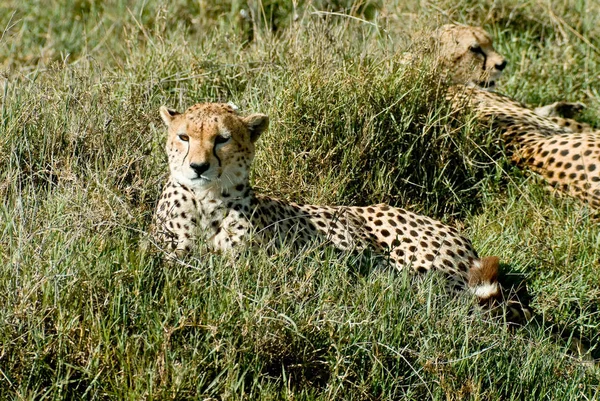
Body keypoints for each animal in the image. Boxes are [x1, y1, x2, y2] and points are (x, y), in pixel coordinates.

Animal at [152, 101, 532, 322]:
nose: (198, 167)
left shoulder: (245, 269)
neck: (207, 200)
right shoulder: (171, 260)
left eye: (222, 139)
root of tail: (459, 235)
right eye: (184, 137)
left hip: (429, 273)